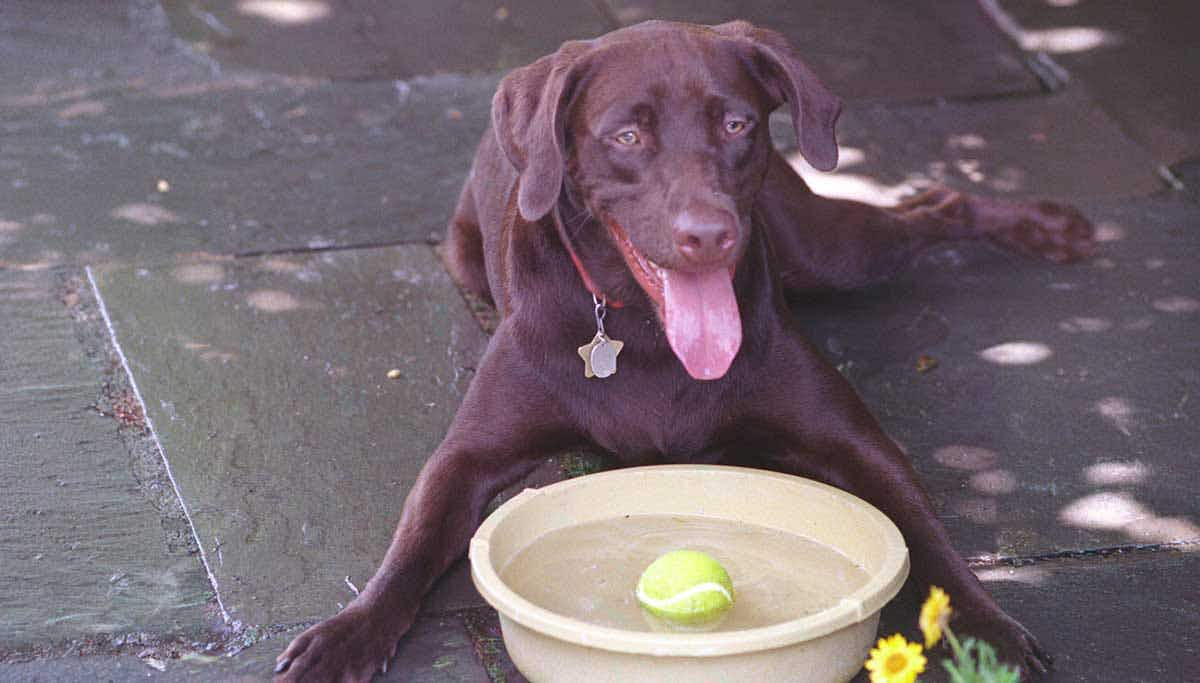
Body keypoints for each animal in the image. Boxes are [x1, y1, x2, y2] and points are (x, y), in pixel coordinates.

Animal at [276, 18, 1094, 676]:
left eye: (735, 124)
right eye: (626, 135)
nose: (711, 235)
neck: (642, 330)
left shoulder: (860, 445)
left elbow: (927, 543)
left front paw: (987, 631)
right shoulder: (466, 457)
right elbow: (409, 549)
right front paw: (344, 634)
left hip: (829, 250)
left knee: (935, 204)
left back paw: (1044, 227)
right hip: (461, 250)